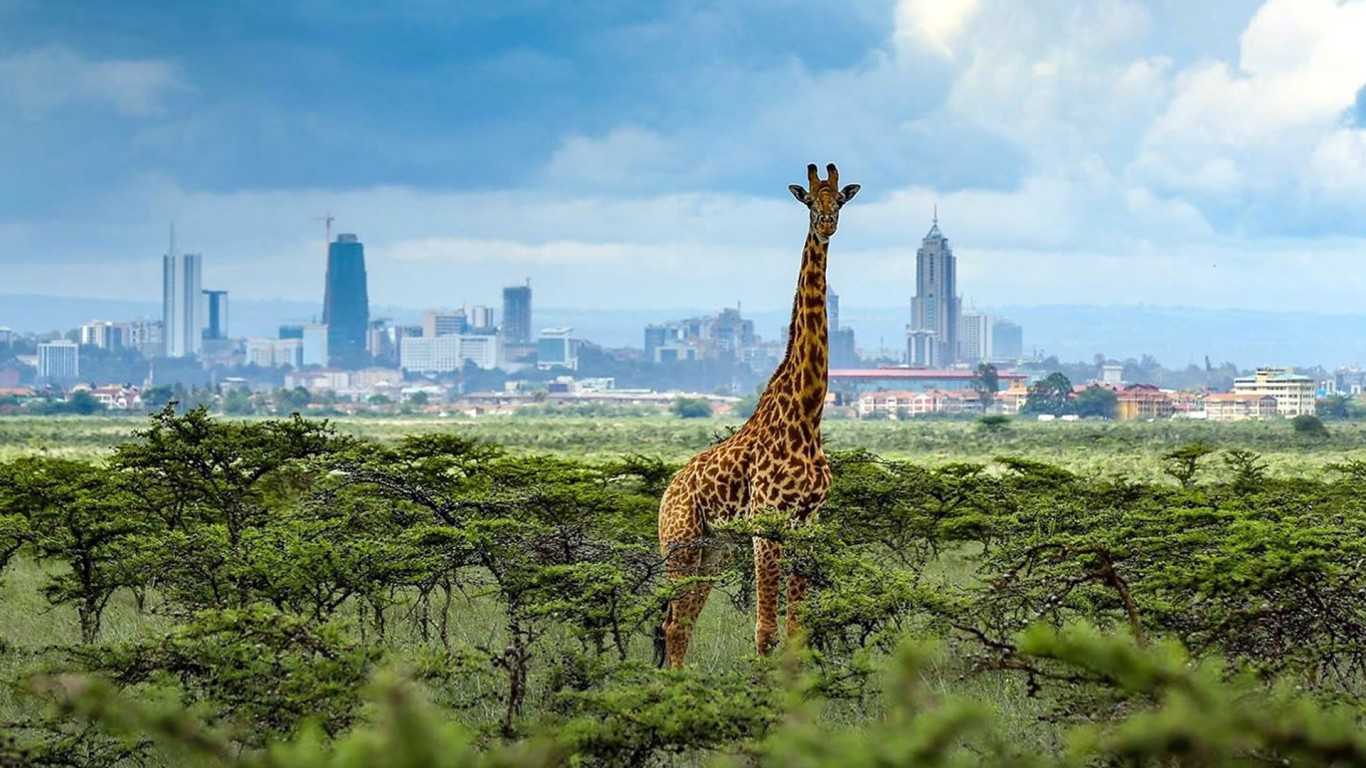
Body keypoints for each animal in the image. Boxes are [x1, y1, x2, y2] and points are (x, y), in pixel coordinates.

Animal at [655, 159, 857, 664]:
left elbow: (796, 631)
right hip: (680, 543)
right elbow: (765, 633)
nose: (827, 224)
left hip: (714, 548)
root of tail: (667, 492)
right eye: (810, 201)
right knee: (672, 623)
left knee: (682, 624)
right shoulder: (767, 524)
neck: (807, 414)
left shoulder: (806, 524)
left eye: (840, 199)